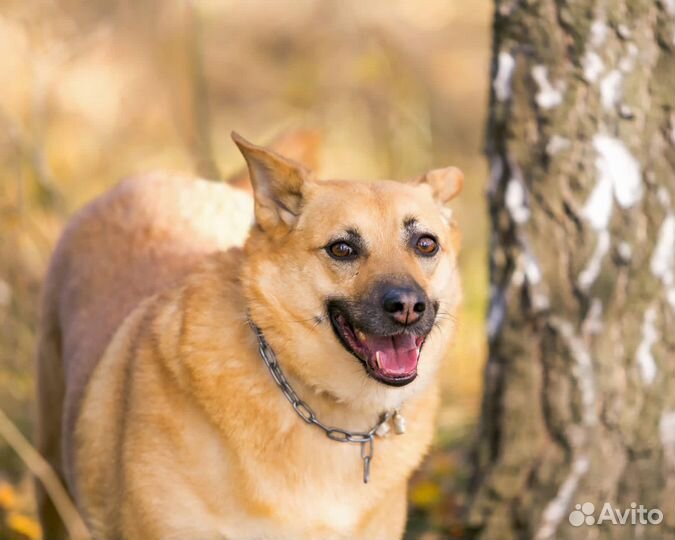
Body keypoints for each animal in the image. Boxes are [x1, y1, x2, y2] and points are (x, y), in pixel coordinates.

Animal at [34, 132, 462, 540]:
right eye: (342, 249)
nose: (407, 306)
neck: (329, 411)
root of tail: (150, 178)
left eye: (426, 244)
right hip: (51, 476)